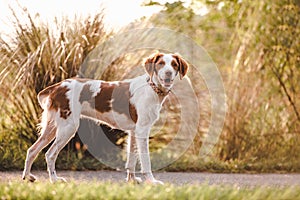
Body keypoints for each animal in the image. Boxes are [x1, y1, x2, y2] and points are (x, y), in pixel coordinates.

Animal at [22, 52, 189, 184]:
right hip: (68, 127)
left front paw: (132, 180)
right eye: (161, 64)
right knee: (50, 154)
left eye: (174, 65)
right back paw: (54, 179)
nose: (168, 73)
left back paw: (28, 176)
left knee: (32, 150)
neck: (151, 88)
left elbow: (131, 159)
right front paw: (152, 181)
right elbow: (145, 160)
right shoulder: (142, 130)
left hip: (52, 128)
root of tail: (58, 86)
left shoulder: (133, 132)